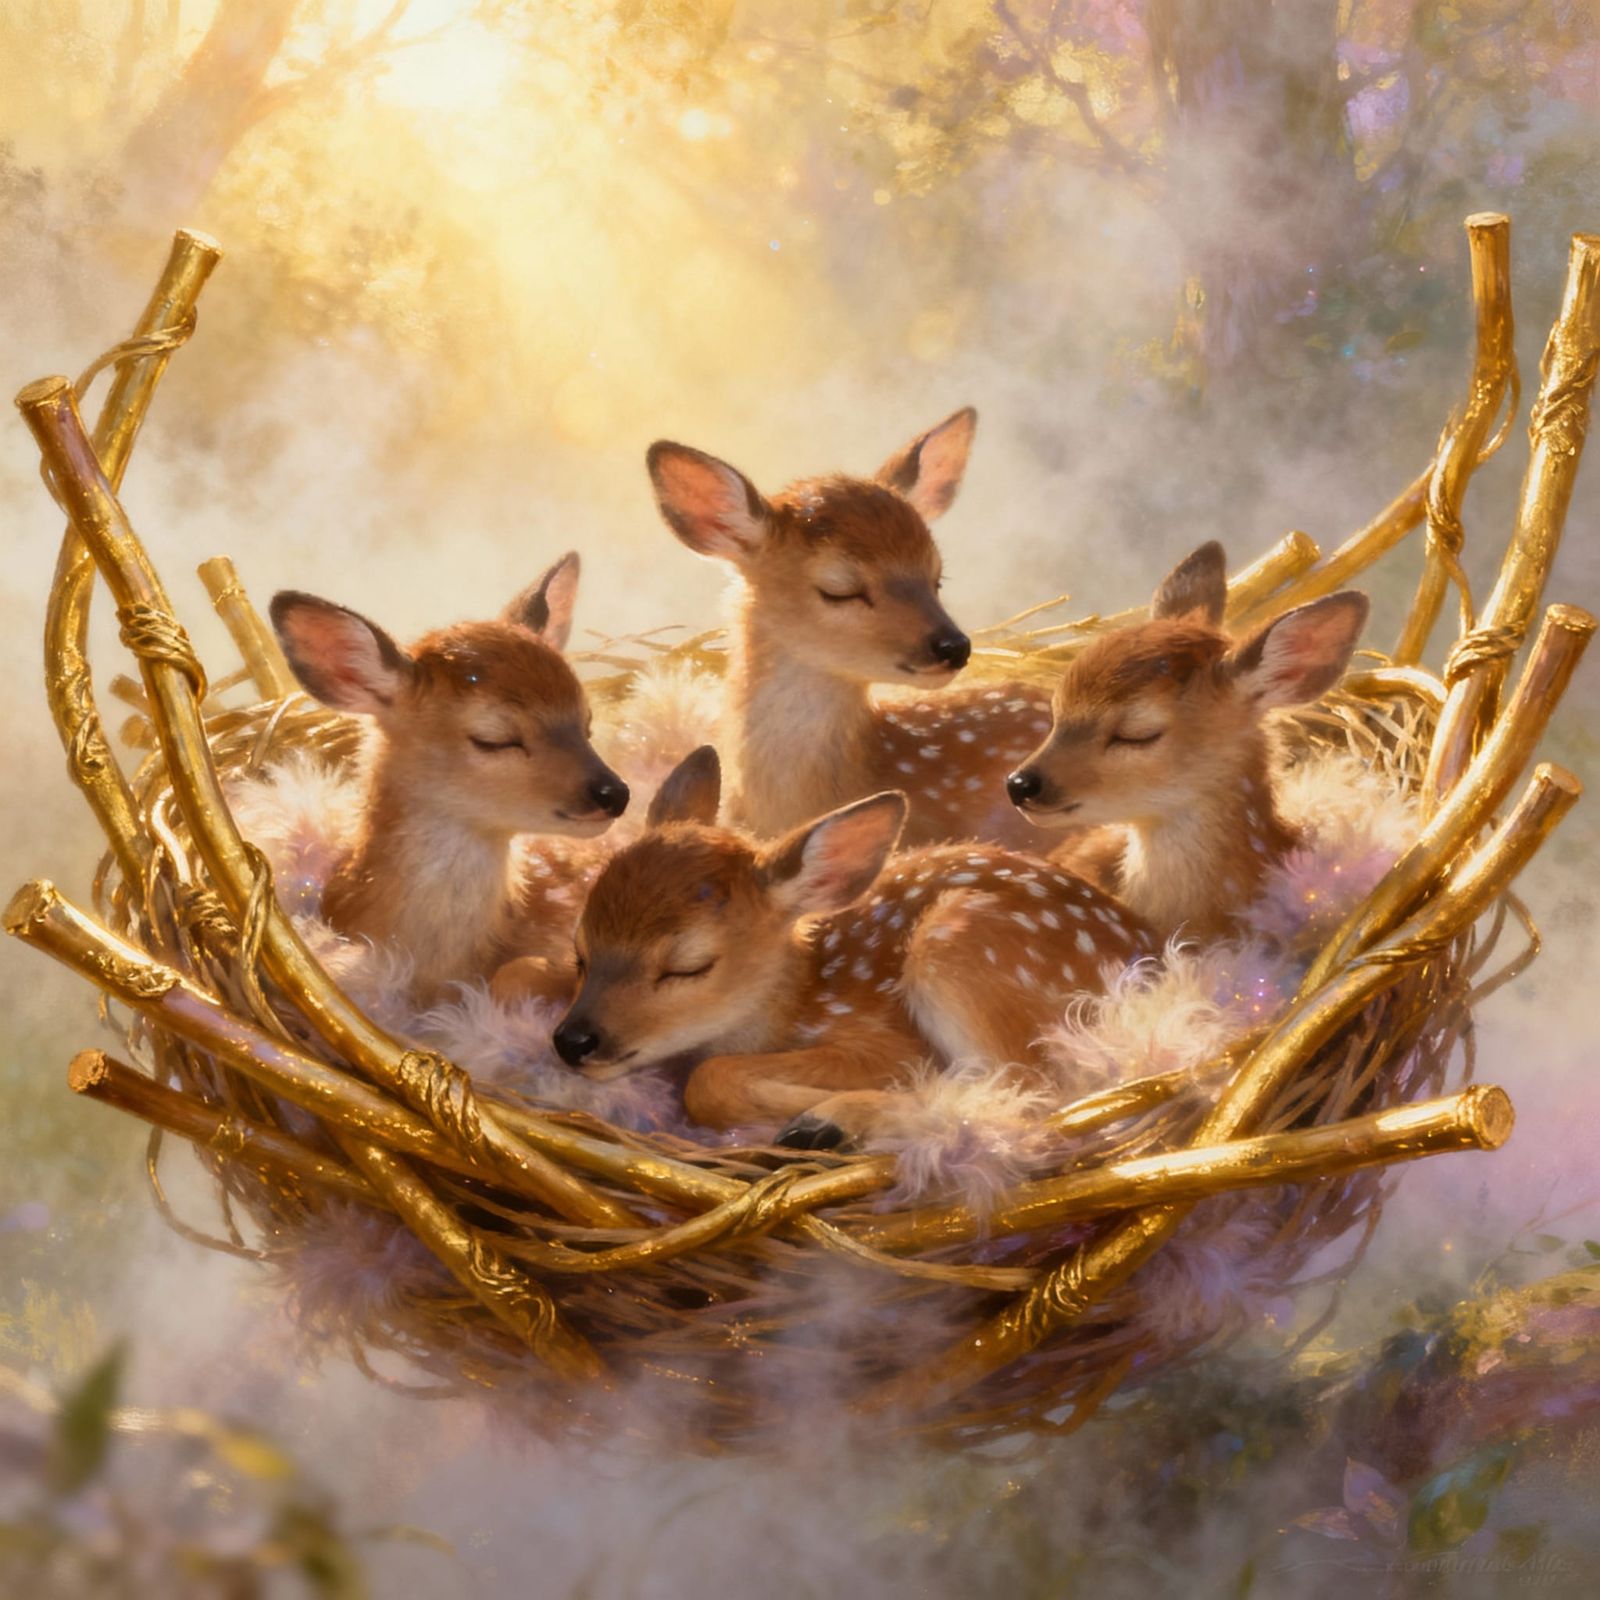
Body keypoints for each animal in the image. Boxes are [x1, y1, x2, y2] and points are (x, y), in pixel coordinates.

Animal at [549, 746, 1155, 1148]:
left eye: (687, 967)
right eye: (580, 951)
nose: (572, 1040)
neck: (798, 1000)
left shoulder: (887, 1042)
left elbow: (708, 1076)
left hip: (958, 948)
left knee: (1032, 1100)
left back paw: (827, 1124)